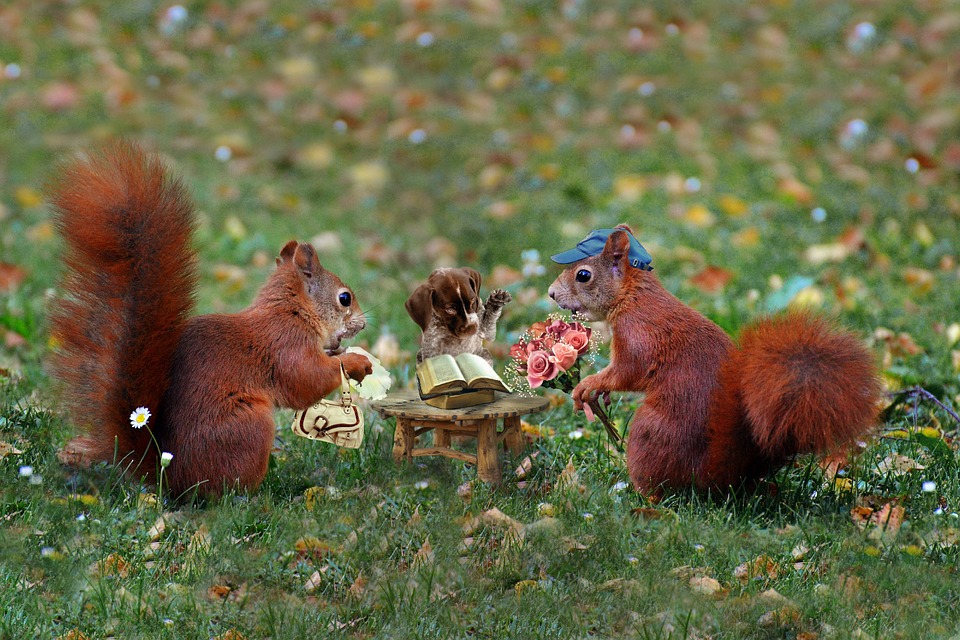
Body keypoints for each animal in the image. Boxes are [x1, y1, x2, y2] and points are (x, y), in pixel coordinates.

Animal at [48, 142, 374, 498]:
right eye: (344, 298)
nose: (362, 323)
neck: (293, 311)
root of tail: (170, 478)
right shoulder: (286, 344)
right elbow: (307, 381)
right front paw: (355, 361)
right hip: (249, 426)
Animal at [544, 224, 880, 496]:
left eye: (583, 275)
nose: (550, 293)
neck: (633, 298)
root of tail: (715, 476)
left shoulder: (637, 336)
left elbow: (627, 372)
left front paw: (587, 384)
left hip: (649, 432)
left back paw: (639, 494)